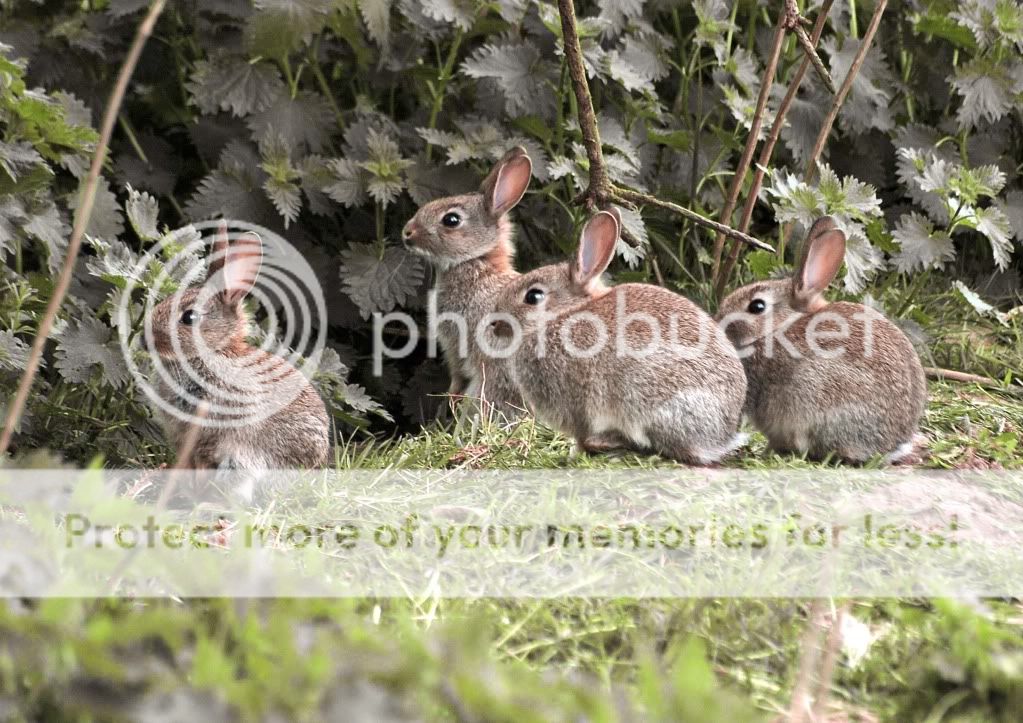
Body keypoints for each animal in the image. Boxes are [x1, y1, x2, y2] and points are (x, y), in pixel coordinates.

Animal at [401, 146, 532, 416]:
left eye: (451, 220)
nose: (407, 232)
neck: (476, 261)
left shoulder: (456, 343)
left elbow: (457, 375)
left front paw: (451, 399)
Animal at [489, 209, 748, 465]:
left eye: (533, 297)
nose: (494, 323)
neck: (564, 314)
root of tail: (722, 436)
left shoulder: (578, 403)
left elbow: (581, 432)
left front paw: (576, 453)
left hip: (646, 396)